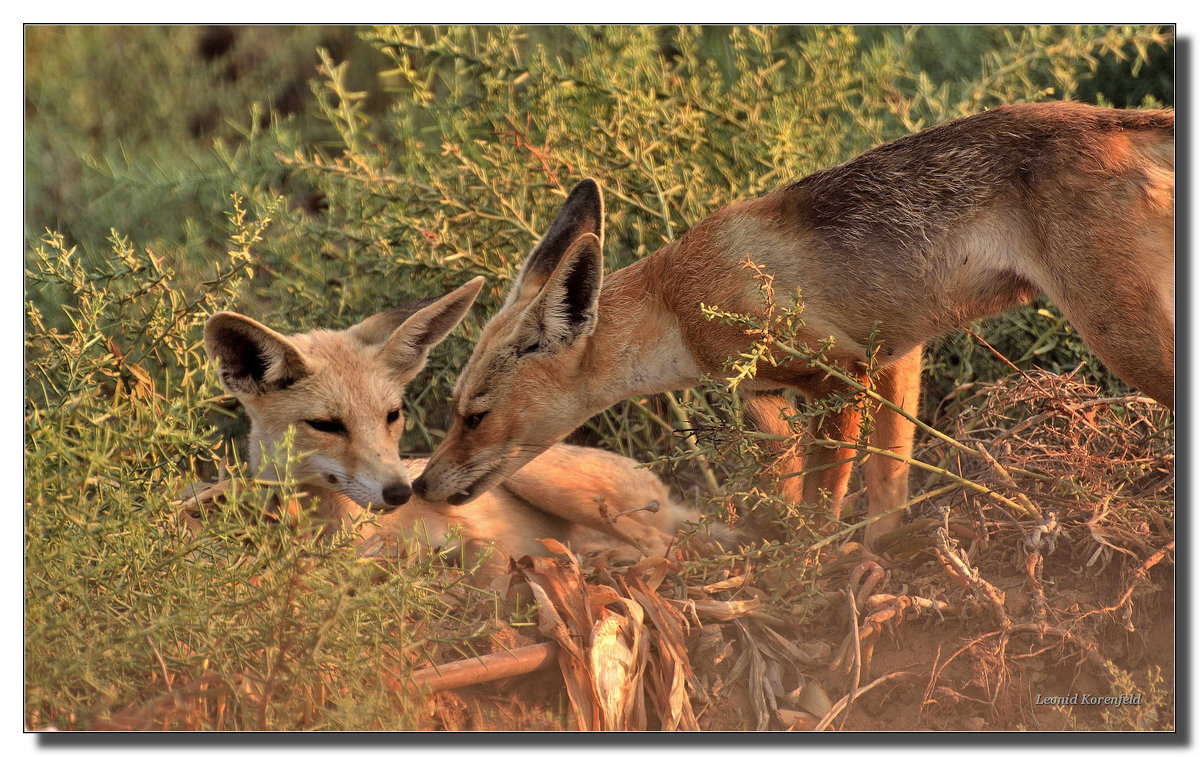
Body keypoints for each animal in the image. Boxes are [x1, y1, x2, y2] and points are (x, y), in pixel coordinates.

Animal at [200, 275, 700, 578]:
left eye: (391, 415)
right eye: (326, 425)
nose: (403, 492)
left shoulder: (477, 536)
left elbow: (482, 566)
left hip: (536, 479)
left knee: (663, 542)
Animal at [412, 103, 1171, 547]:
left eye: (474, 416)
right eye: (454, 413)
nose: (419, 487)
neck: (676, 304)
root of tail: (1112, 118)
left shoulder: (842, 374)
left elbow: (822, 504)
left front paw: (814, 572)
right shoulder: (875, 360)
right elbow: (881, 489)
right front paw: (875, 565)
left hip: (1121, 336)